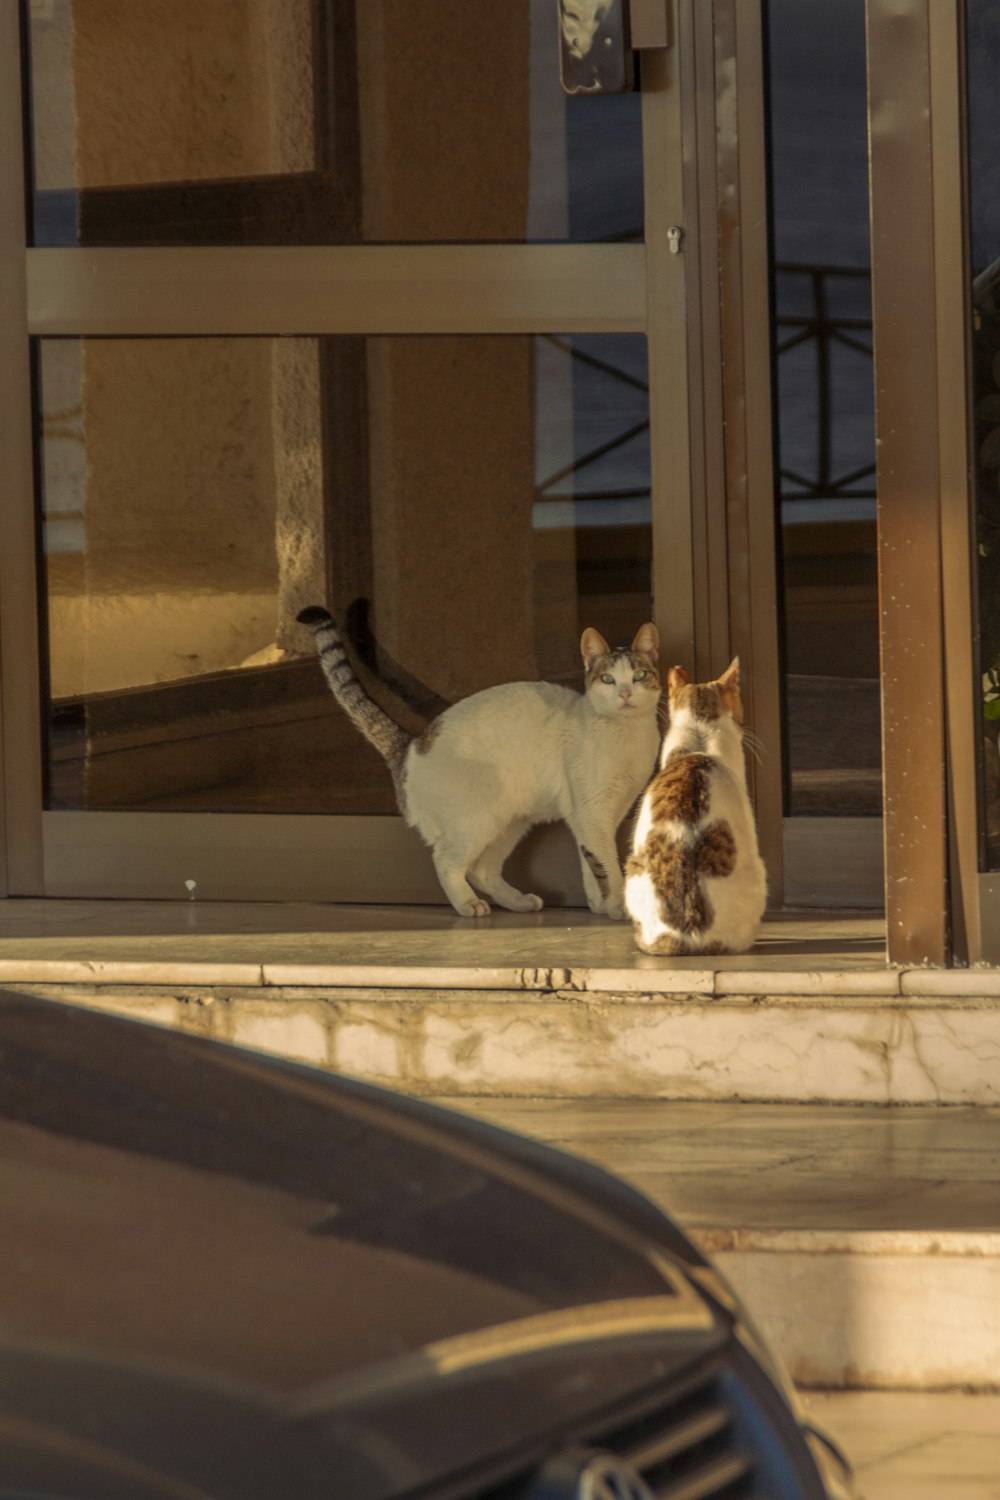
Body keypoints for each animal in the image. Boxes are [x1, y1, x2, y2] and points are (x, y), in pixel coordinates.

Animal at [296, 606, 659, 912]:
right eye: (608, 679)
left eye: (639, 677)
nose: (626, 694)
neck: (629, 735)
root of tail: (412, 745)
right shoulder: (592, 813)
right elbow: (609, 865)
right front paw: (618, 908)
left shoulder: (601, 815)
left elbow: (592, 864)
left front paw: (600, 906)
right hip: (474, 824)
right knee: (447, 862)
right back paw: (468, 905)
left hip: (509, 823)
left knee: (482, 871)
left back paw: (519, 902)